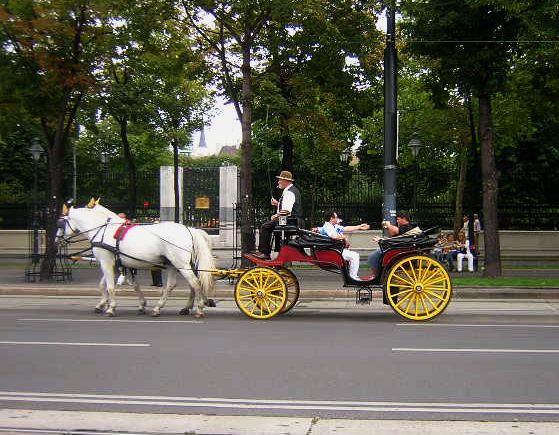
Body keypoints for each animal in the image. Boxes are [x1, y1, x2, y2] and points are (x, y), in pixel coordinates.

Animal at [56, 204, 214, 316]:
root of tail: (189, 229)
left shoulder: (106, 262)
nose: (56, 240)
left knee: (195, 283)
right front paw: (103, 304)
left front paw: (111, 308)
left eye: (60, 223)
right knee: (174, 285)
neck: (102, 230)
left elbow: (110, 286)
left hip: (180, 264)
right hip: (174, 265)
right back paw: (164, 308)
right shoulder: (116, 264)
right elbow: (114, 285)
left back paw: (199, 308)